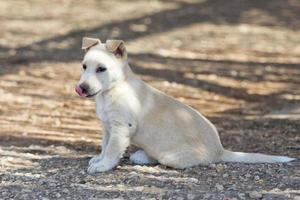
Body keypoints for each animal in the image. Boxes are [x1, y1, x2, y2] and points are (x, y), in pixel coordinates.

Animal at [75, 37, 296, 173]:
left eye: (101, 69)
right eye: (84, 67)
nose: (82, 88)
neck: (112, 90)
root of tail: (220, 151)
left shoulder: (120, 128)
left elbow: (112, 150)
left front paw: (103, 166)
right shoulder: (107, 127)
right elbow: (105, 146)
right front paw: (99, 159)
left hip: (170, 156)